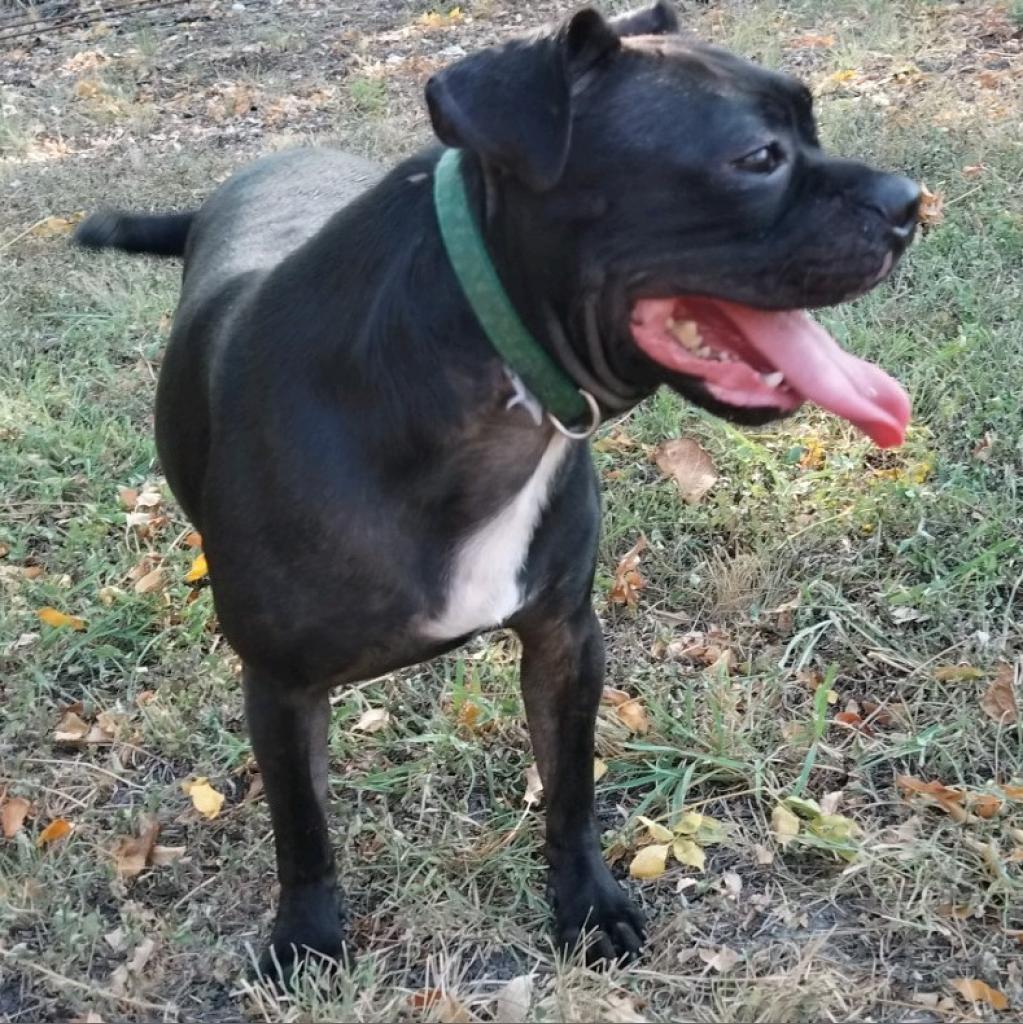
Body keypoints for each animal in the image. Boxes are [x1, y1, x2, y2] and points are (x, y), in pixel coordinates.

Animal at [75, 0, 917, 974]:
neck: (492, 389)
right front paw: (309, 941)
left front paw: (586, 903)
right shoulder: (281, 687)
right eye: (756, 157)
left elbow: (570, 787)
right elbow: (304, 831)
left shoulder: (564, 637)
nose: (908, 202)